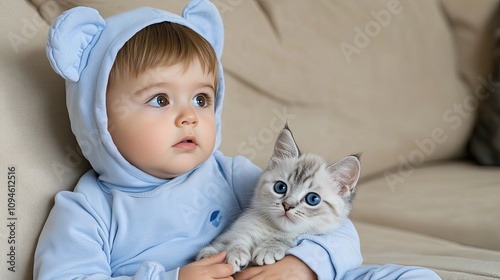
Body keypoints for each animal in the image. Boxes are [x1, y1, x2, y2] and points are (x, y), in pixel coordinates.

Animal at [197, 125, 362, 274]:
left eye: (313, 199)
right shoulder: (233, 233)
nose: (287, 205)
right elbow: (229, 242)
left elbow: (290, 237)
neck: (273, 229)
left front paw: (269, 249)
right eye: (280, 187)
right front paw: (235, 252)